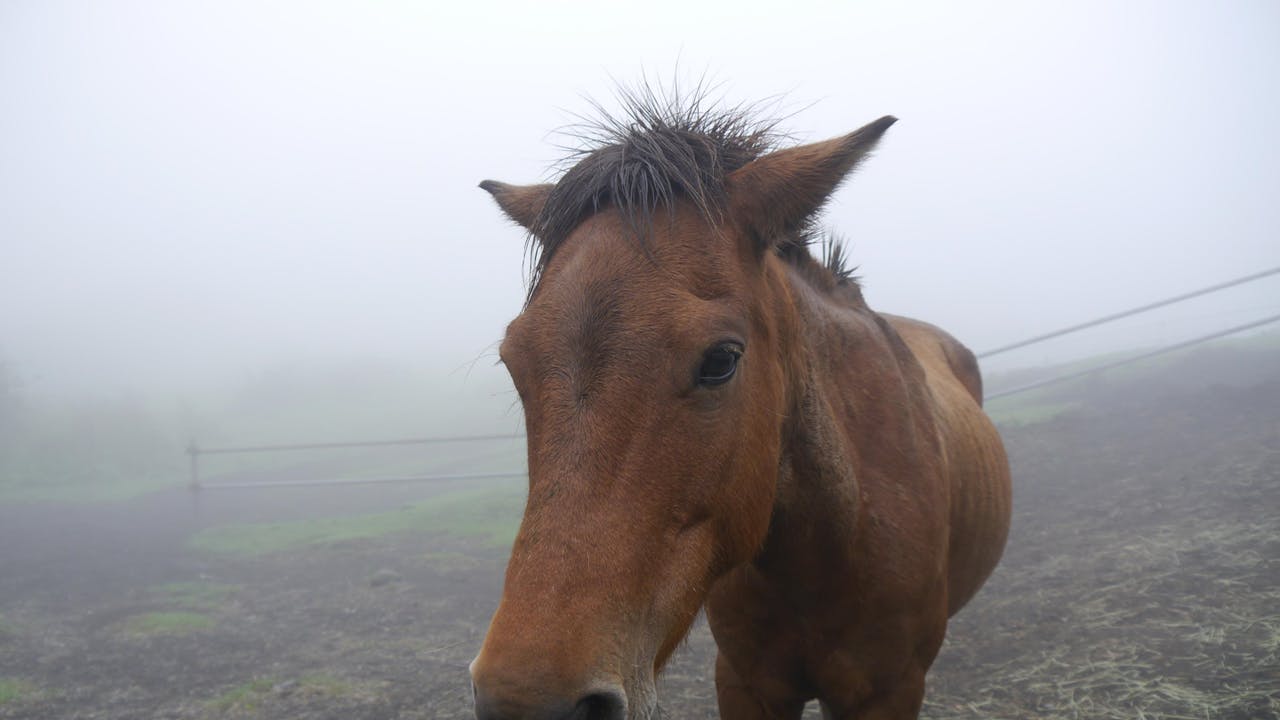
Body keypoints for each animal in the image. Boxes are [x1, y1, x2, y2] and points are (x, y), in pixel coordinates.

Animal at [468, 90, 1008, 717]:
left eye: (721, 360)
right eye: (513, 362)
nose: (526, 701)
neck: (840, 533)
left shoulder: (888, 691)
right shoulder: (746, 682)